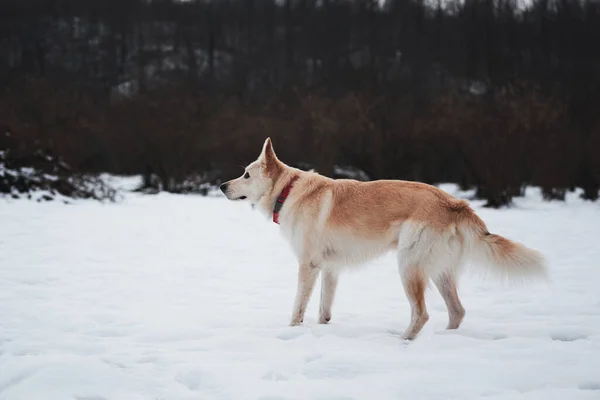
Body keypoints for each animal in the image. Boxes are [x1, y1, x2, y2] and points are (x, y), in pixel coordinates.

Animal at [220, 138, 548, 340]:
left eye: (246, 175)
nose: (222, 186)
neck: (288, 192)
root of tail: (454, 203)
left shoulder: (308, 266)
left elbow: (298, 307)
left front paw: (292, 331)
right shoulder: (330, 269)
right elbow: (324, 309)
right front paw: (322, 329)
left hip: (408, 267)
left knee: (422, 314)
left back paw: (403, 341)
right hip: (438, 272)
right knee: (457, 311)